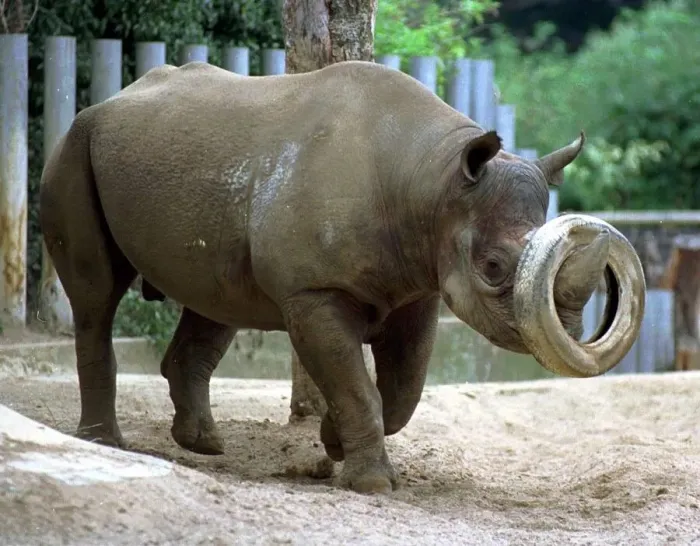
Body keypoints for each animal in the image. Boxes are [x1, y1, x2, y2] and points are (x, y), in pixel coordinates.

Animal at [39, 60, 645, 495]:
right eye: (494, 268)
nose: (569, 330)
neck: (435, 183)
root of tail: (108, 101)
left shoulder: (418, 286)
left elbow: (403, 390)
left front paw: (331, 443)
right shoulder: (314, 291)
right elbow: (359, 386)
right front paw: (371, 484)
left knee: (215, 302)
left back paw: (204, 446)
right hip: (74, 146)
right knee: (97, 297)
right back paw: (108, 444)